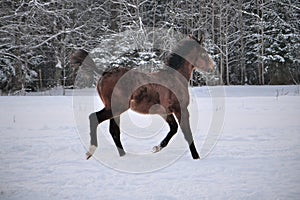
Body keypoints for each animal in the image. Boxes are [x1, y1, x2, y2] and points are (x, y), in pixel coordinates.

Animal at [85, 34, 214, 159]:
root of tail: (104, 73)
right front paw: (196, 157)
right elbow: (187, 133)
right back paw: (90, 152)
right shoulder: (180, 109)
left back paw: (123, 156)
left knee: (114, 131)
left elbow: (174, 128)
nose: (212, 67)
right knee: (94, 118)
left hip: (115, 110)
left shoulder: (165, 112)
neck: (175, 78)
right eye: (203, 53)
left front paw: (157, 147)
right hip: (117, 107)